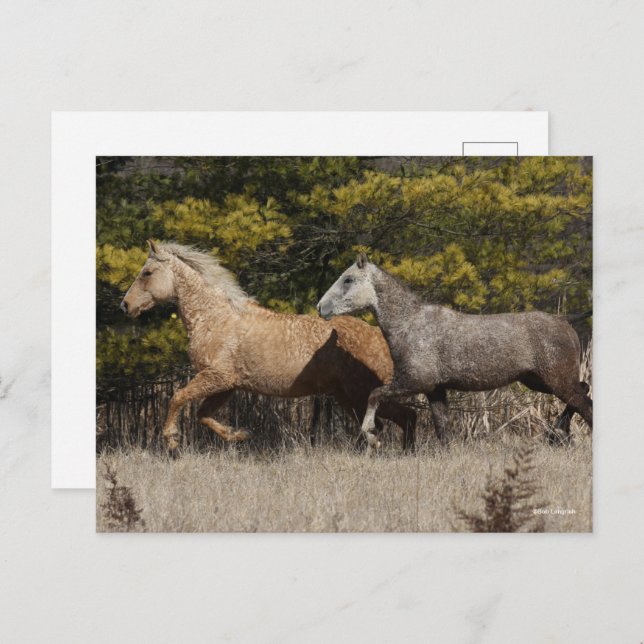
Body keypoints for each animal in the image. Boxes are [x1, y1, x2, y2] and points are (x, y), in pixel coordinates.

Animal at [119, 241, 416, 453]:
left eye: (147, 272)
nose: (125, 305)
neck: (214, 317)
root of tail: (379, 337)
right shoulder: (226, 385)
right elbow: (203, 415)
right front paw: (240, 435)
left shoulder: (216, 377)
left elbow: (177, 397)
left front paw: (171, 440)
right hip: (347, 396)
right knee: (391, 421)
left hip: (361, 392)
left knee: (404, 416)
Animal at [317, 253, 593, 448]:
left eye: (348, 279)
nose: (320, 307)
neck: (409, 324)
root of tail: (565, 322)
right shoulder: (435, 390)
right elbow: (442, 428)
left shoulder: (414, 381)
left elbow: (374, 395)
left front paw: (372, 436)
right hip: (538, 381)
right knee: (584, 392)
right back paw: (558, 430)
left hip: (556, 381)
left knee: (584, 403)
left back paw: (561, 432)